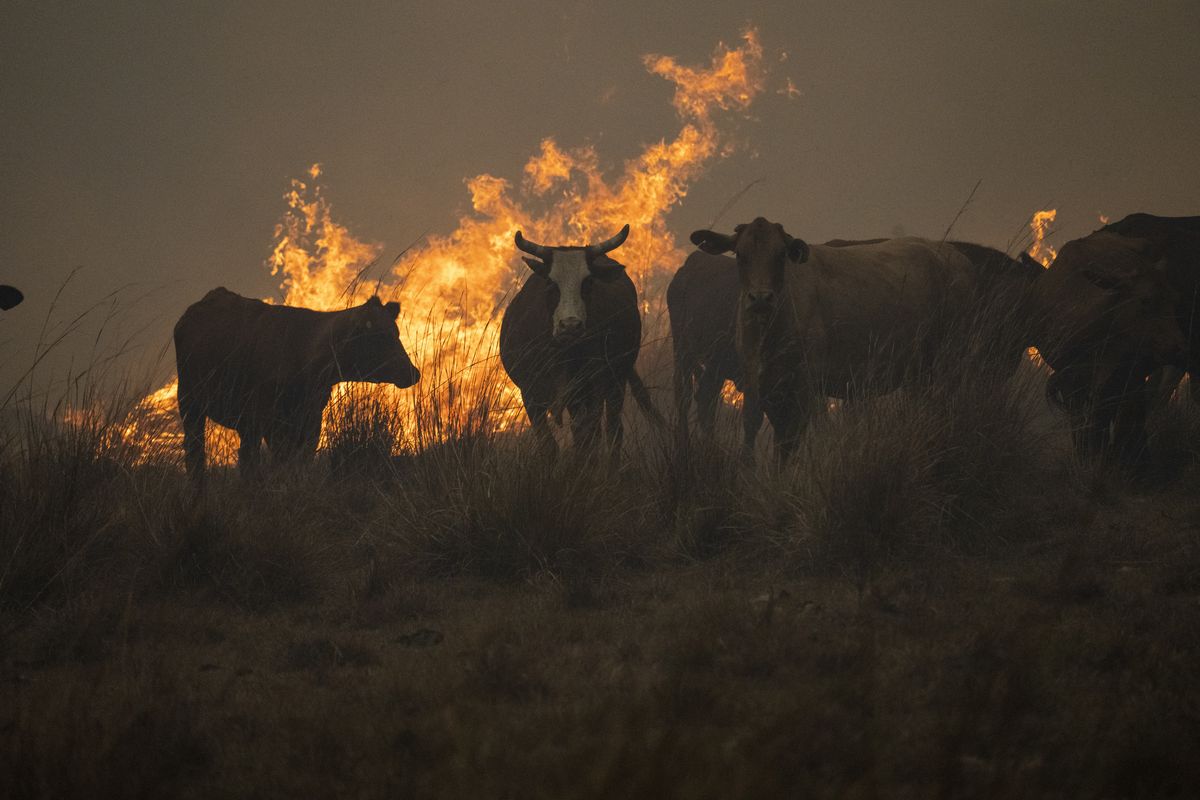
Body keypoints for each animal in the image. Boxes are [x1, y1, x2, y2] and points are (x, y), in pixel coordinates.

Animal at [174, 288, 420, 481]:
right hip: (190, 403)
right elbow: (268, 464)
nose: (413, 372)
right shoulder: (262, 420)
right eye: (380, 336)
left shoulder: (310, 420)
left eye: (396, 332)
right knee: (197, 455)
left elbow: (298, 463)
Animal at [500, 224, 661, 455]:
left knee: (611, 430)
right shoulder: (530, 393)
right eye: (550, 282)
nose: (570, 325)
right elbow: (549, 445)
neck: (563, 352)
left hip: (614, 382)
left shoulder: (595, 386)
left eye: (589, 282)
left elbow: (588, 438)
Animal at [1028, 229, 1187, 464]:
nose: (1178, 347)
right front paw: (1088, 455)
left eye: (1175, 301)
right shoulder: (1071, 379)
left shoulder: (1126, 374)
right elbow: (1085, 421)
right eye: (1145, 301)